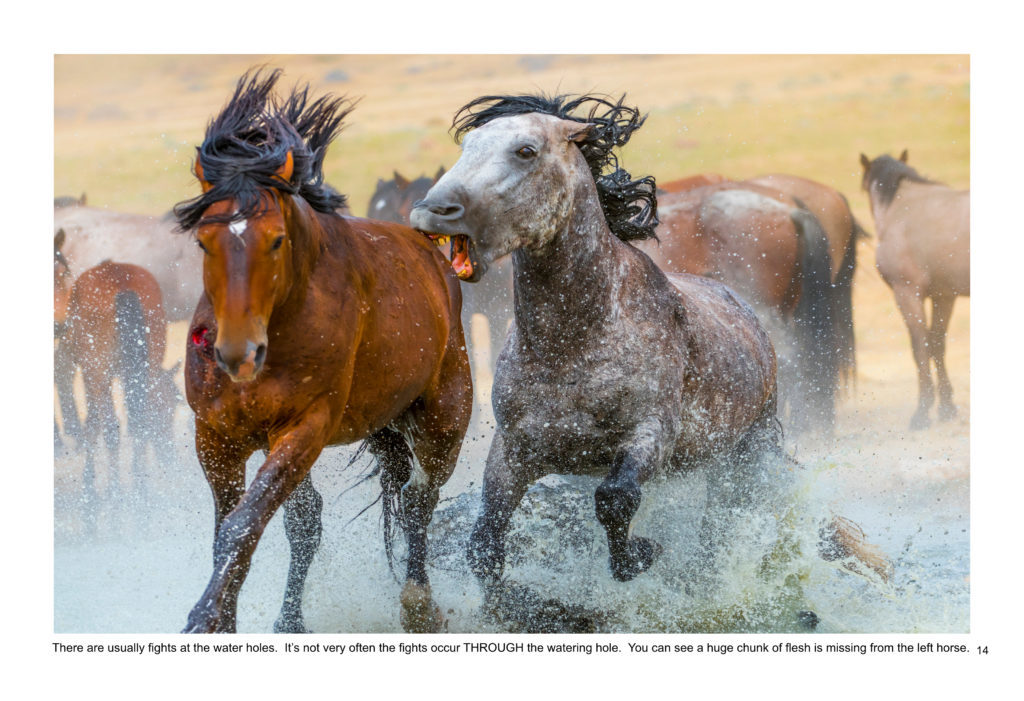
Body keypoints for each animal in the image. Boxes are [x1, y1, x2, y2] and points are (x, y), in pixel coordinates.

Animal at [61, 259, 180, 499]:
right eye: (169, 410)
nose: (169, 456)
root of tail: (122, 284)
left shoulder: (89, 374)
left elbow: (92, 424)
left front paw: (90, 484)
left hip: (100, 375)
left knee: (111, 429)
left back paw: (115, 491)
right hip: (145, 371)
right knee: (138, 424)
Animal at [178, 71, 473, 634]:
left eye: (275, 240)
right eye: (204, 241)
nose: (237, 354)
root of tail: (433, 254)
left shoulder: (306, 427)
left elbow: (242, 527)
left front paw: (203, 618)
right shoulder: (217, 437)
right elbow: (233, 529)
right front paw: (221, 622)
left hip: (443, 417)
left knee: (418, 501)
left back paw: (418, 603)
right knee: (310, 518)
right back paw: (290, 621)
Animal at [860, 150, 970, 429]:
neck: (901, 208)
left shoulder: (907, 292)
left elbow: (919, 346)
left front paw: (922, 411)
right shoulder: (944, 295)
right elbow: (937, 344)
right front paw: (946, 407)